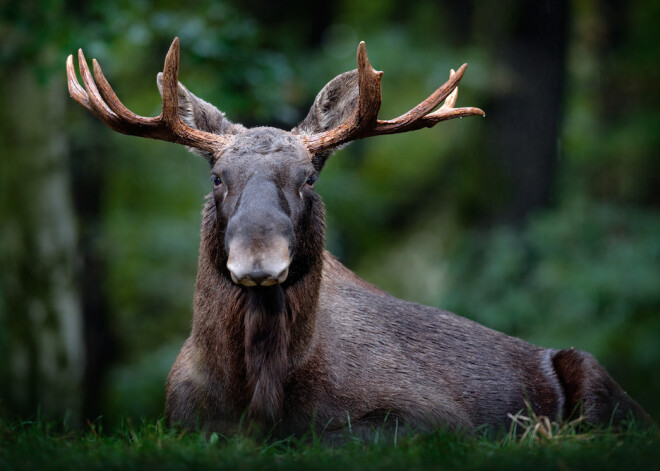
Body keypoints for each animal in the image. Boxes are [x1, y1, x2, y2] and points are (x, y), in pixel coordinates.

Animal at [65, 38, 644, 440]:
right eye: (216, 177)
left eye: (309, 178)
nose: (258, 261)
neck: (259, 390)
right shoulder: (180, 418)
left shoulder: (441, 419)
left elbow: (335, 437)